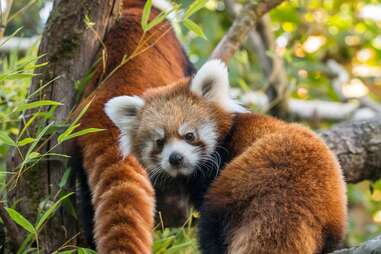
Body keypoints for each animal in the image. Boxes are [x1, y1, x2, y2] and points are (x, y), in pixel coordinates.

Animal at [104, 60, 348, 254]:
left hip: (233, 189)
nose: (176, 158)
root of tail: (289, 195)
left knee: (211, 228)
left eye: (189, 135)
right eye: (159, 142)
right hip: (331, 215)